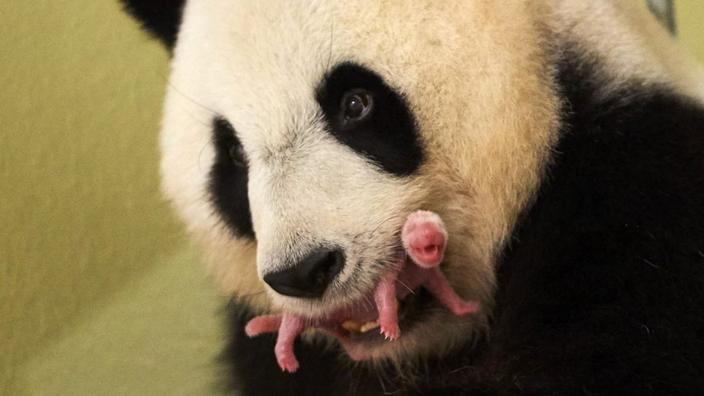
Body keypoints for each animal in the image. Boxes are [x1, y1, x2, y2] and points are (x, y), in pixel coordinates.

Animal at [245, 210, 482, 372]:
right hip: (301, 314)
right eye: (414, 229)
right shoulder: (391, 267)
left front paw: (466, 308)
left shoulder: (430, 272)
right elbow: (383, 295)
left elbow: (444, 291)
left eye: (435, 224)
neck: (414, 263)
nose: (429, 235)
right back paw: (286, 358)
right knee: (289, 329)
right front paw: (390, 327)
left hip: (330, 324)